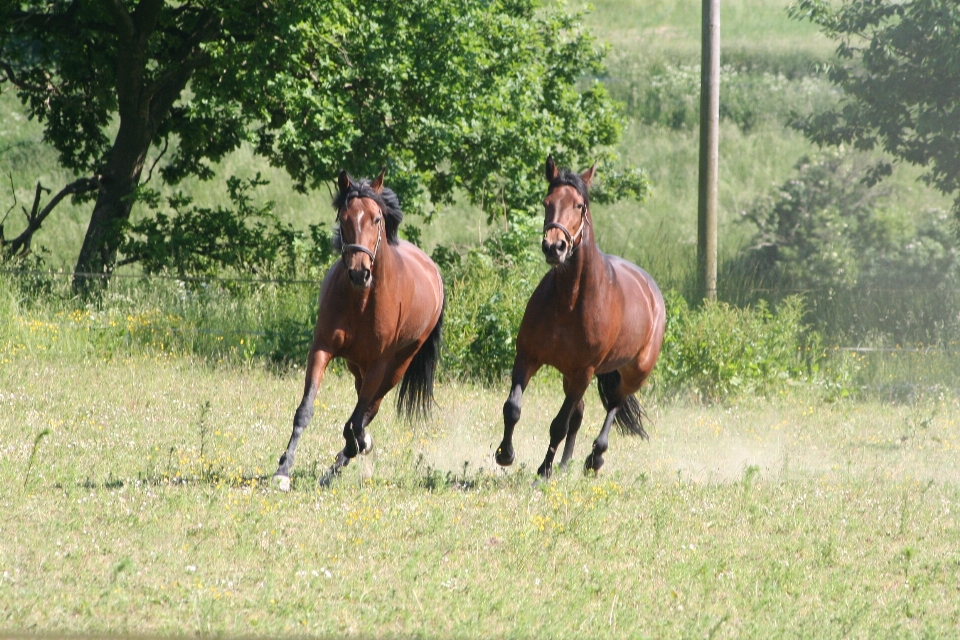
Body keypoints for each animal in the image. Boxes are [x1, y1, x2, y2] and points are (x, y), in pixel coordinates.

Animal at [274, 168, 446, 488]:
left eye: (376, 218)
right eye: (343, 218)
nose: (359, 272)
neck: (361, 300)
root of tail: (433, 270)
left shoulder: (380, 365)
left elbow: (353, 422)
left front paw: (354, 447)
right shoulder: (322, 349)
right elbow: (305, 410)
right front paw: (283, 470)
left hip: (396, 366)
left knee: (370, 408)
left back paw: (343, 460)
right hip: (357, 365)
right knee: (362, 406)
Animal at [496, 155, 660, 478]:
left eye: (579, 205)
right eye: (546, 202)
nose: (554, 246)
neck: (569, 302)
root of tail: (651, 291)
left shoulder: (584, 371)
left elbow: (558, 425)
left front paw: (542, 472)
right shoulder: (528, 357)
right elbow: (513, 408)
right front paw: (505, 454)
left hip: (632, 374)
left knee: (613, 406)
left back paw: (594, 458)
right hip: (570, 376)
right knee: (580, 415)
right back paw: (564, 464)